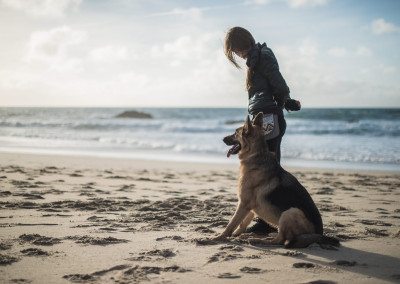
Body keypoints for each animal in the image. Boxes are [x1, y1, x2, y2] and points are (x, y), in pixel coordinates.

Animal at [212, 112, 338, 247]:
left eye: (236, 132)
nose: (223, 139)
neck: (256, 155)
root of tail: (319, 234)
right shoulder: (248, 206)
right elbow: (242, 223)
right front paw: (237, 234)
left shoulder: (243, 204)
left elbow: (231, 223)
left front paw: (219, 237)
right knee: (282, 237)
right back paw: (268, 235)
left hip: (290, 212)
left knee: (280, 240)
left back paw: (259, 240)